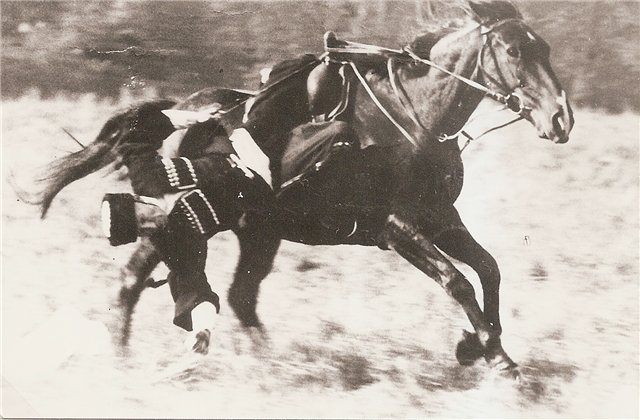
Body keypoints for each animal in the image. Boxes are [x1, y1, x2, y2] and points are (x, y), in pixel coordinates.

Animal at [36, 0, 576, 378]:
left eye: (547, 49)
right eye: (513, 50)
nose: (560, 120)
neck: (412, 120)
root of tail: (171, 114)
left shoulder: (441, 219)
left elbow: (489, 270)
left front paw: (481, 344)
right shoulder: (397, 228)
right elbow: (458, 280)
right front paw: (493, 354)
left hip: (258, 232)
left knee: (239, 297)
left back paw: (269, 367)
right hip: (185, 222)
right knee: (136, 281)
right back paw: (124, 363)